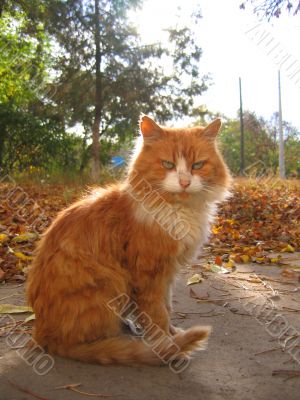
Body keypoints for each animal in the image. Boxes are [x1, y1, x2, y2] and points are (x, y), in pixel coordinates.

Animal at [27, 115, 231, 368]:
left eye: (197, 165)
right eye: (168, 165)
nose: (184, 182)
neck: (176, 211)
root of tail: (42, 334)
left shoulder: (168, 273)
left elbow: (167, 307)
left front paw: (173, 335)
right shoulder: (149, 275)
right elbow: (158, 315)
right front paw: (167, 345)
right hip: (112, 284)